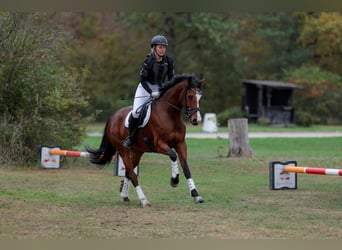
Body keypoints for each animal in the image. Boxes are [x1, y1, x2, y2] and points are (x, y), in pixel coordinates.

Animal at [88, 73, 204, 207]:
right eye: (190, 96)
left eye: (200, 97)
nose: (196, 120)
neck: (170, 115)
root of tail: (113, 117)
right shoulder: (159, 144)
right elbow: (173, 155)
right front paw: (174, 180)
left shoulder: (181, 144)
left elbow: (186, 168)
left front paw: (196, 195)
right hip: (123, 150)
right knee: (132, 173)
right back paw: (143, 199)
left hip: (138, 151)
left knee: (128, 172)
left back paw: (124, 195)